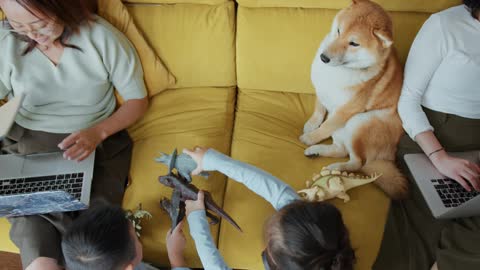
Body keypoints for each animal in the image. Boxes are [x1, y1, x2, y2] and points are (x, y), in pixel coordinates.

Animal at [302, 0, 406, 198]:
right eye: (338, 31)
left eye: (354, 43)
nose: (323, 57)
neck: (339, 71)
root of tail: (389, 155)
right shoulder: (322, 90)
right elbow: (319, 110)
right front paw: (311, 125)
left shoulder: (346, 110)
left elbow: (324, 127)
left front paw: (310, 137)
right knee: (341, 150)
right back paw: (317, 153)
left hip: (359, 122)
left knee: (358, 162)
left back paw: (335, 168)